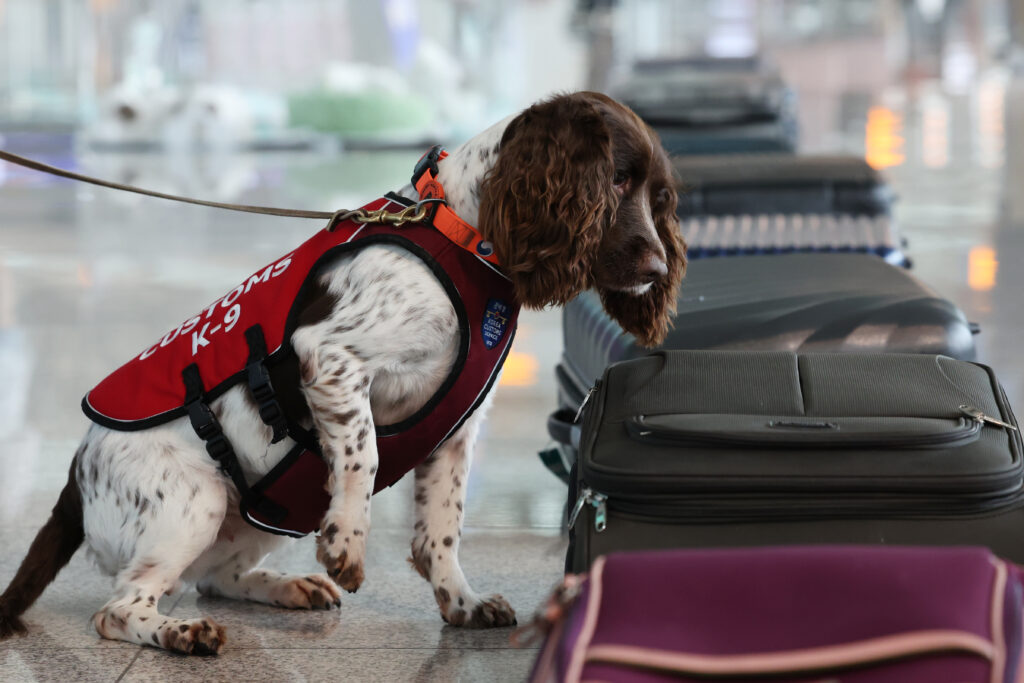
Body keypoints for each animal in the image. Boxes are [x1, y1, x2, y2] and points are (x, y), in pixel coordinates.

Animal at [2, 89, 688, 651]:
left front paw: (461, 603)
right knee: (120, 608)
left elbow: (443, 526)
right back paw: (181, 633)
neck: (463, 235)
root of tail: (74, 478)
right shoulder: (330, 357)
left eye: (659, 198)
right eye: (615, 181)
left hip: (253, 514)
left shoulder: (458, 427)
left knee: (215, 579)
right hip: (197, 499)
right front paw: (347, 545)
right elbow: (363, 456)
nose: (657, 268)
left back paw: (285, 587)